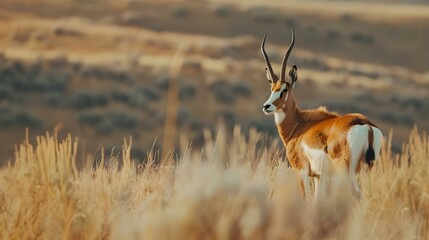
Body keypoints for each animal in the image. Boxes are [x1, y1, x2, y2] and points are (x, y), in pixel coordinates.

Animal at [260, 30, 382, 200]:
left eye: (284, 89)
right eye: (272, 88)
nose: (267, 106)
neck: (299, 125)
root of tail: (365, 124)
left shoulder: (301, 171)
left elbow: (305, 199)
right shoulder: (319, 176)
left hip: (345, 171)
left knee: (355, 194)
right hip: (368, 169)